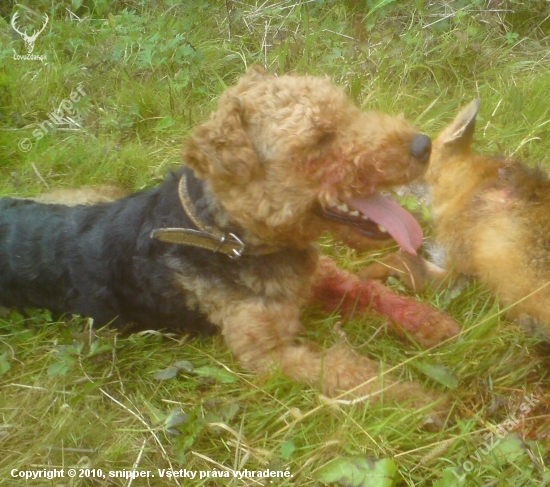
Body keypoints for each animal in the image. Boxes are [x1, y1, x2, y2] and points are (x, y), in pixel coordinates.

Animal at [0, 66, 460, 422]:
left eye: (348, 110)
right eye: (320, 138)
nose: (424, 145)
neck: (227, 234)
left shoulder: (319, 276)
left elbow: (375, 293)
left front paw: (435, 325)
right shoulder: (268, 354)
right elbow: (350, 373)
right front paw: (425, 401)